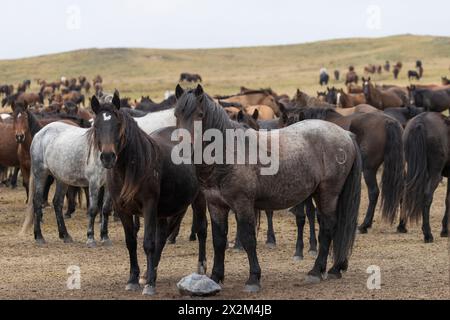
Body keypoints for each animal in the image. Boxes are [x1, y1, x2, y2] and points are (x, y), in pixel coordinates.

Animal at [90, 92, 209, 296]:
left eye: (117, 125)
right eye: (96, 126)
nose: (107, 157)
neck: (130, 168)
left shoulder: (149, 205)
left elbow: (148, 243)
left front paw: (149, 286)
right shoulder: (122, 209)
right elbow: (131, 242)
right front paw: (134, 279)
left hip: (198, 199)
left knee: (201, 229)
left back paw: (200, 268)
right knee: (162, 236)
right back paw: (149, 272)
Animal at [175, 84, 362, 290]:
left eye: (199, 114)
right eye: (176, 114)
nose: (182, 150)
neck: (229, 152)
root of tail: (345, 135)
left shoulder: (243, 204)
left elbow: (248, 239)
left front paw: (253, 278)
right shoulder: (216, 205)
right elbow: (218, 241)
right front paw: (215, 277)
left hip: (328, 193)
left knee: (328, 227)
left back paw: (316, 271)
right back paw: (334, 268)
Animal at [280, 106, 406, 234]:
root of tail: (389, 122)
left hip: (369, 170)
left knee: (374, 192)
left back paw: (364, 225)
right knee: (402, 190)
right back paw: (401, 225)